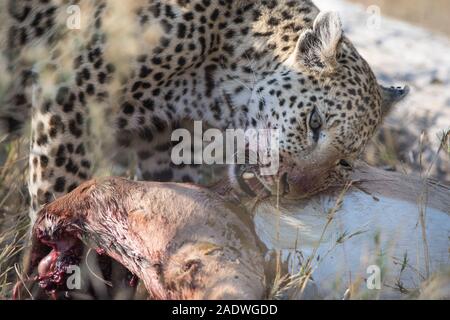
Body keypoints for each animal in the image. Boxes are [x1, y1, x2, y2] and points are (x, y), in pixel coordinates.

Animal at [0, 0, 408, 221]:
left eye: (343, 162)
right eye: (314, 121)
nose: (291, 188)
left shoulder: (163, 140)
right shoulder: (71, 97)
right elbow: (55, 193)